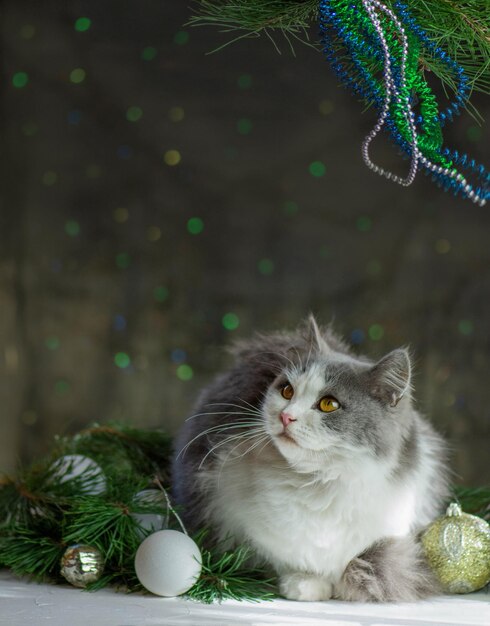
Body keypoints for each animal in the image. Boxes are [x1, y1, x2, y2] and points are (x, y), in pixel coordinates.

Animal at [171, 316, 448, 600]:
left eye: (329, 404)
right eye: (286, 391)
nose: (286, 416)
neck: (320, 482)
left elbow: (352, 563)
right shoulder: (237, 516)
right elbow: (286, 559)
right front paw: (305, 584)